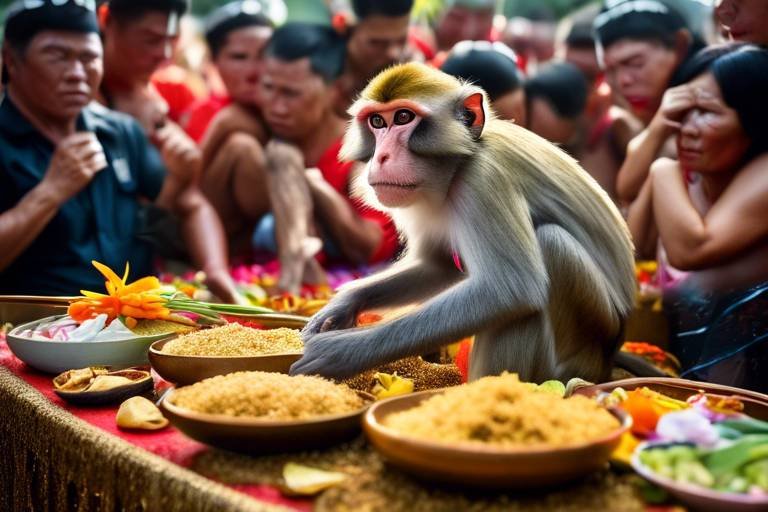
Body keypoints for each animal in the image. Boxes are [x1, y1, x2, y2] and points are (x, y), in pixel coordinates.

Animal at [289, 62, 638, 383]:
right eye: (377, 121)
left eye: (403, 117)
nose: (382, 157)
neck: (458, 164)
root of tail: (606, 361)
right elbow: (438, 265)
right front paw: (343, 305)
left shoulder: (483, 179)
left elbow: (510, 290)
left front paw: (342, 351)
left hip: (586, 335)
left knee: (549, 251)